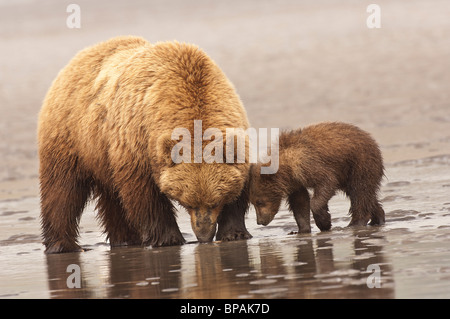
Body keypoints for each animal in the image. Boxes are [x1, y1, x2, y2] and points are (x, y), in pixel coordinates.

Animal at [37, 35, 251, 255]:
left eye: (215, 201)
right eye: (188, 202)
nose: (204, 235)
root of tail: (75, 60)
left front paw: (234, 233)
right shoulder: (136, 141)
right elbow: (144, 194)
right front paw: (169, 238)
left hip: (103, 157)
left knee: (112, 199)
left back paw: (125, 239)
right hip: (71, 137)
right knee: (63, 190)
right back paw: (63, 245)